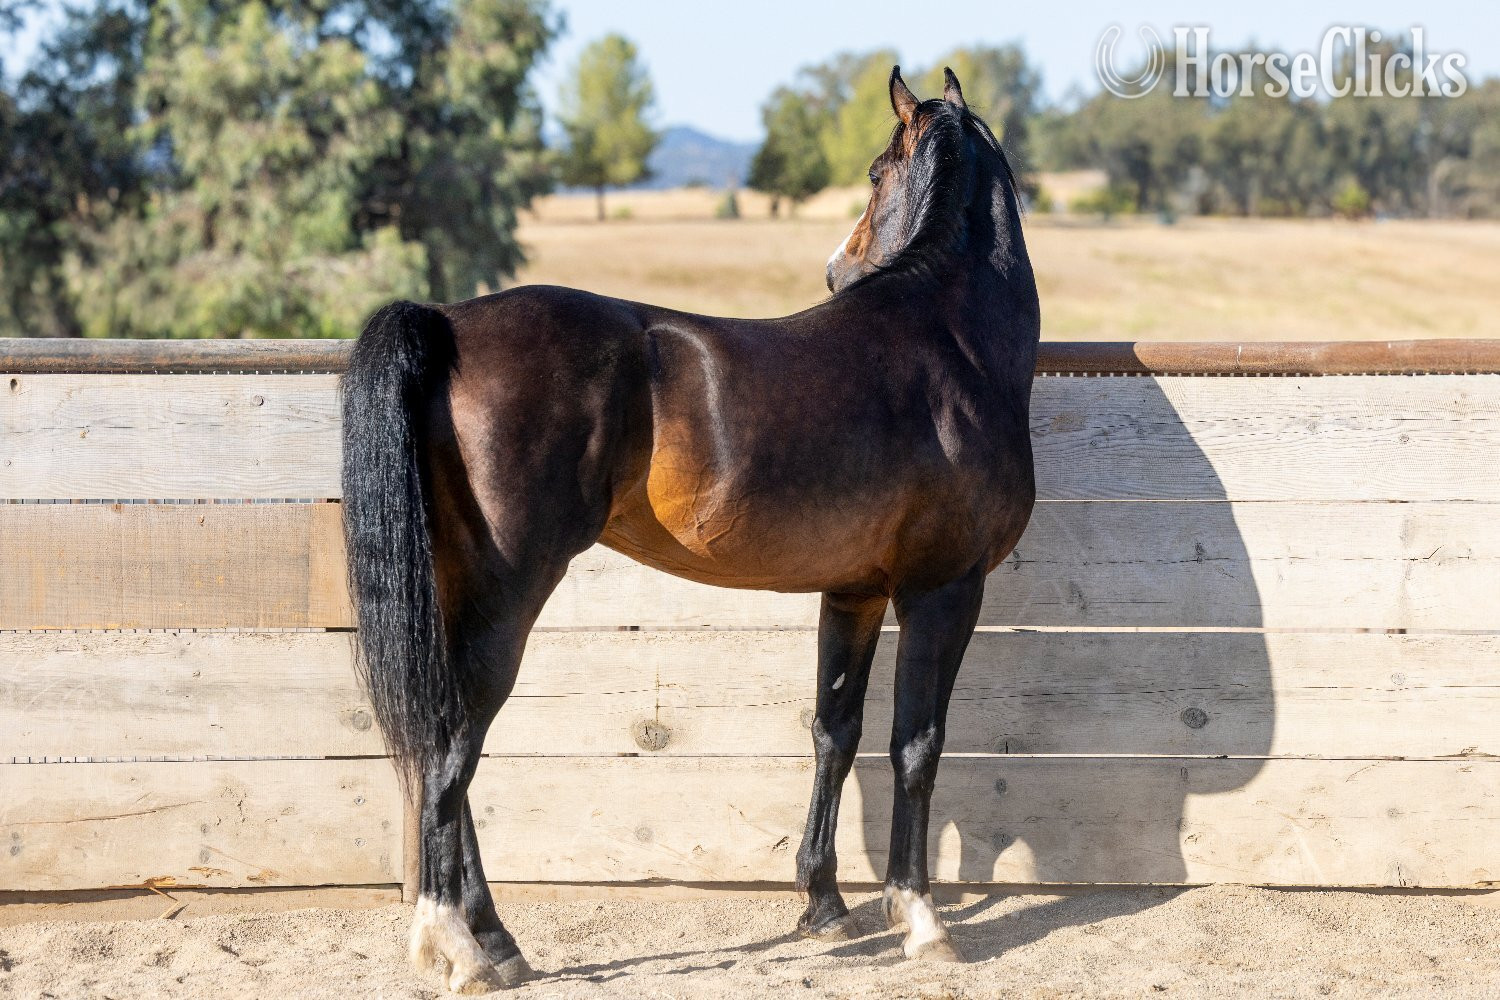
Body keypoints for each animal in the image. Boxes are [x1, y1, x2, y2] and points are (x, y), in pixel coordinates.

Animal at [340, 66, 1039, 993]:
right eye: (875, 171)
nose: (837, 268)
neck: (951, 340)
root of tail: (446, 324)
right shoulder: (943, 590)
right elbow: (916, 746)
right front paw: (920, 918)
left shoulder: (854, 592)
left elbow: (836, 732)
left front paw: (824, 903)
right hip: (506, 594)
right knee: (453, 745)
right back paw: (454, 943)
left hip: (460, 591)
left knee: (446, 749)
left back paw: (498, 939)